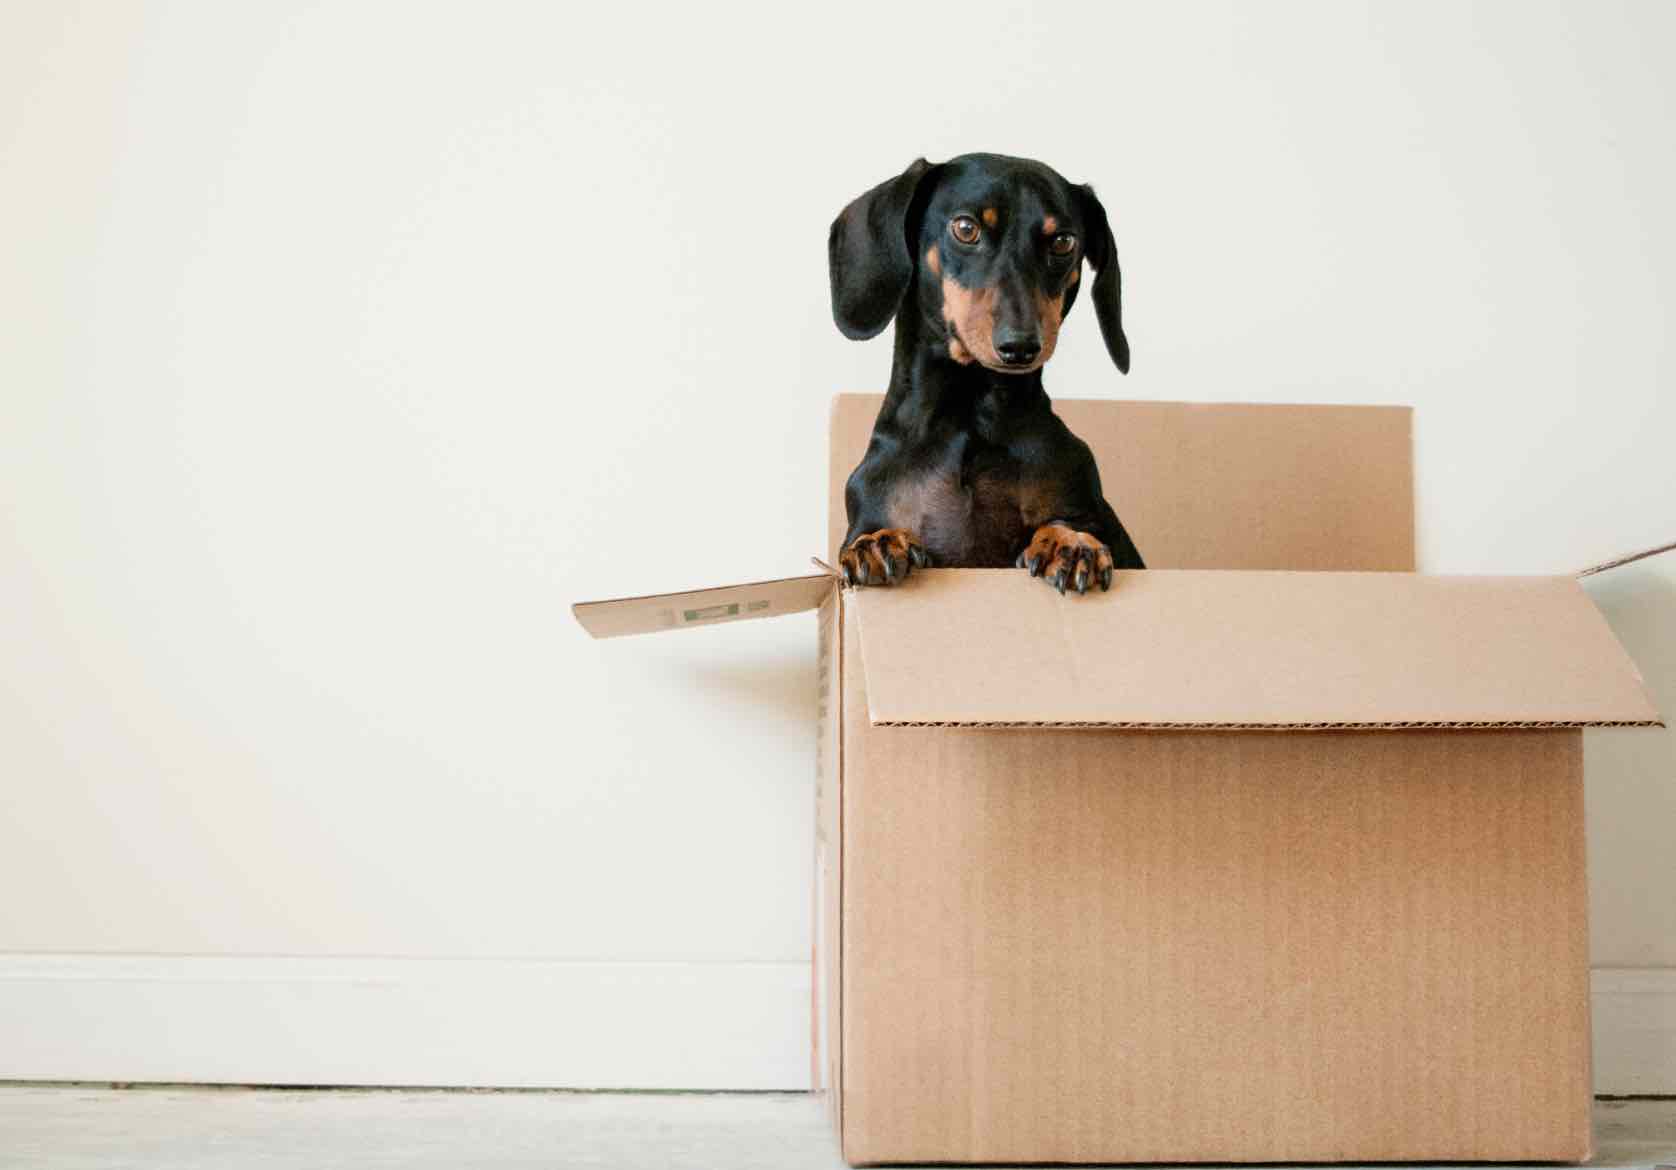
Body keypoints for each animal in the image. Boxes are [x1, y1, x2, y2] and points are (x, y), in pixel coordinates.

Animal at [829, 153, 1144, 594]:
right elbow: (870, 533)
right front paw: (877, 543)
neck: (969, 416)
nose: (1020, 346)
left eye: (1063, 242)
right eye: (966, 228)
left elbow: (1067, 522)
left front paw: (1069, 542)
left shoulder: (1089, 508)